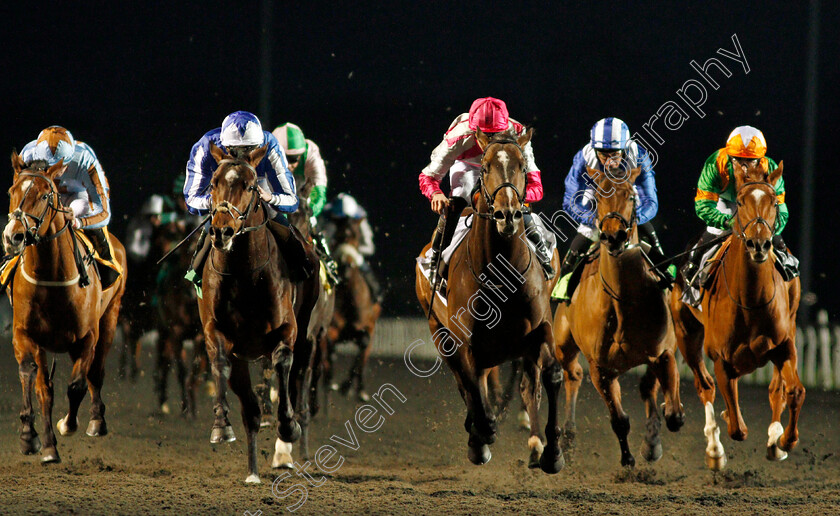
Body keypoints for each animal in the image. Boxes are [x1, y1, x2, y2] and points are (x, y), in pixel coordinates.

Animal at [3, 151, 128, 462]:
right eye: (12, 191)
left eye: (46, 195)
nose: (14, 236)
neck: (51, 276)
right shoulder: (25, 334)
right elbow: (34, 379)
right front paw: (32, 438)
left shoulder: (87, 336)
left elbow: (77, 385)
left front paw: (68, 425)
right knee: (45, 385)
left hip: (110, 317)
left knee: (96, 372)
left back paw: (96, 420)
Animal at [416, 129, 564, 472]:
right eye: (484, 167)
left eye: (523, 166)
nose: (507, 214)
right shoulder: (464, 341)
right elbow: (471, 385)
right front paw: (480, 437)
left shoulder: (540, 328)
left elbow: (551, 374)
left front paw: (552, 452)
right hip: (439, 331)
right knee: (465, 381)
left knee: (527, 383)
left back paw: (534, 443)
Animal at [552, 165, 684, 468]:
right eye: (598, 197)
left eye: (631, 196)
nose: (614, 236)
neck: (623, 301)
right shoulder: (601, 369)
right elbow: (619, 420)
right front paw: (627, 458)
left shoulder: (663, 353)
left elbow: (673, 415)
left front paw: (653, 442)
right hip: (563, 344)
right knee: (572, 374)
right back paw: (567, 439)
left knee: (648, 387)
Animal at [668, 161, 800, 472]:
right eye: (740, 201)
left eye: (774, 201)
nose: (758, 244)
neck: (751, 300)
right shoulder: (720, 357)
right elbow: (737, 428)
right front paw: (725, 428)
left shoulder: (784, 345)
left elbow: (793, 391)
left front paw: (784, 441)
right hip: (685, 333)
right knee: (705, 386)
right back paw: (715, 450)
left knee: (776, 388)